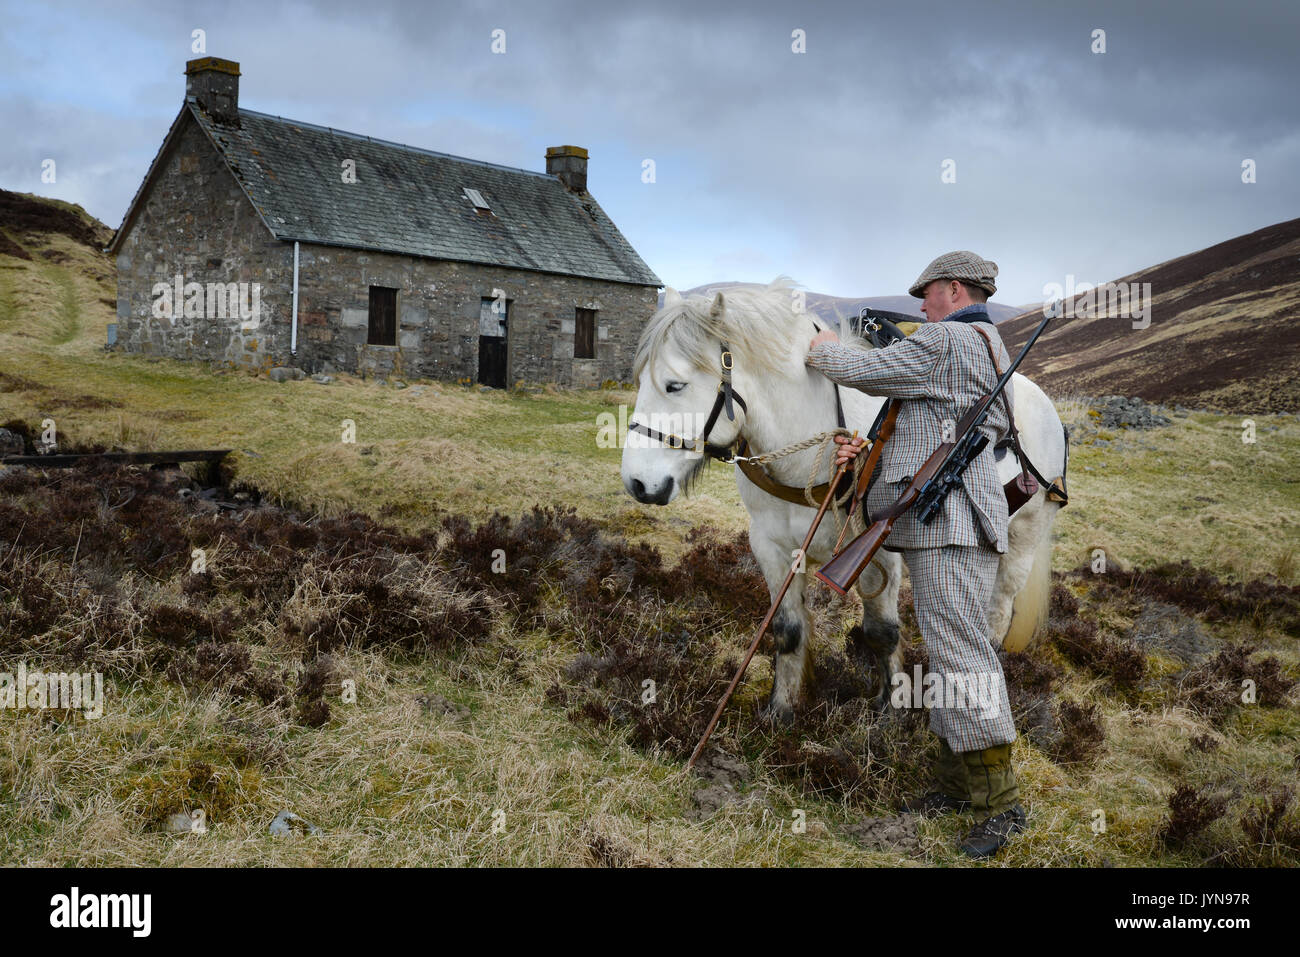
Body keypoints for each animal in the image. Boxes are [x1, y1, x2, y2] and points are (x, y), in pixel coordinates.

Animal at [618, 276, 1066, 722]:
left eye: (675, 385)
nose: (637, 483)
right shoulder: (771, 546)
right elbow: (787, 630)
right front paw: (781, 708)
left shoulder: (875, 551)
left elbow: (882, 632)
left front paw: (891, 709)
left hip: (1022, 537)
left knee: (999, 607)